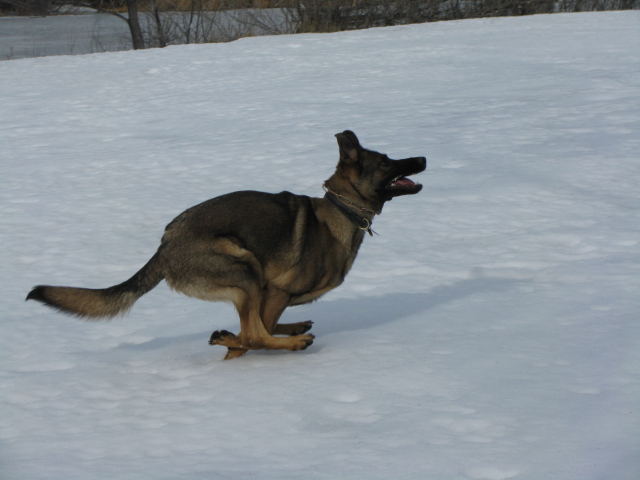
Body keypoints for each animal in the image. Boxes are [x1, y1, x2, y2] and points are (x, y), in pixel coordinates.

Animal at [26, 131, 424, 360]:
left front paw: (227, 341)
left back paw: (270, 331)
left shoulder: (272, 294)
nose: (422, 158)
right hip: (244, 267)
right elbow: (254, 336)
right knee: (253, 334)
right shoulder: (276, 290)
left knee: (252, 330)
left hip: (247, 280)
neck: (342, 209)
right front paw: (235, 346)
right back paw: (288, 341)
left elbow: (254, 332)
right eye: (386, 162)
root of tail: (164, 248)